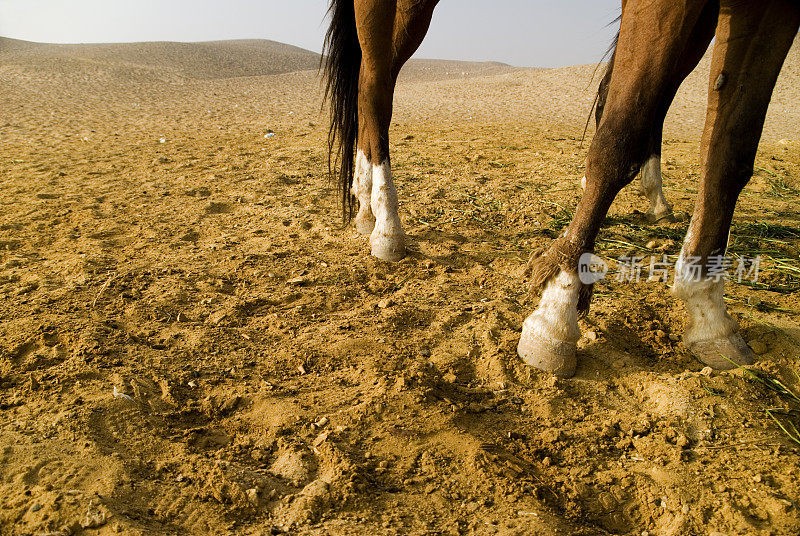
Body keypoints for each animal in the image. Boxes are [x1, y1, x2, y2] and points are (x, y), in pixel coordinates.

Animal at [322, 0, 796, 376]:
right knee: (374, 85)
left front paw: (708, 310)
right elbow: (621, 132)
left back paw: (365, 203)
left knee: (370, 83)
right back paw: (387, 226)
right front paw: (560, 304)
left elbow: (730, 149)